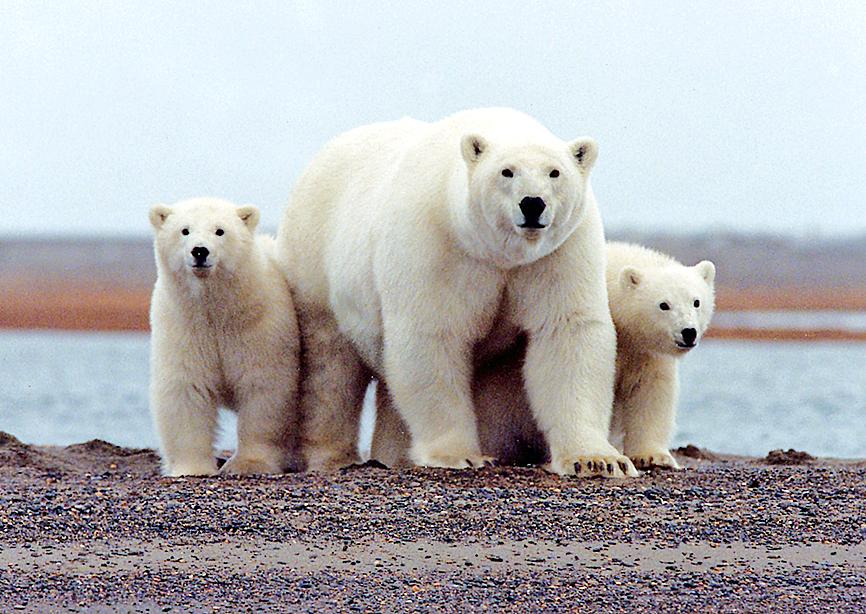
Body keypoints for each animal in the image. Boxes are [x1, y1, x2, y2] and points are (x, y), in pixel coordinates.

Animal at [152, 197, 304, 476]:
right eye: (184, 230)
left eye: (220, 231)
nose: (200, 251)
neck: (217, 310)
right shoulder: (184, 327)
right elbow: (186, 389)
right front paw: (193, 468)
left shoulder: (259, 327)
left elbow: (263, 389)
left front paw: (249, 464)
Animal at [276, 108, 636, 478]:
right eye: (507, 171)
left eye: (555, 172)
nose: (533, 204)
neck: (498, 254)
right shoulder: (438, 245)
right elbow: (433, 336)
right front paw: (460, 455)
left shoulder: (558, 253)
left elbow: (566, 332)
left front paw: (597, 459)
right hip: (316, 262)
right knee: (330, 368)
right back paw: (332, 456)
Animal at [372, 241, 716, 472]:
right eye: (663, 304)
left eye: (696, 301)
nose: (688, 332)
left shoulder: (644, 351)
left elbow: (651, 392)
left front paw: (653, 456)